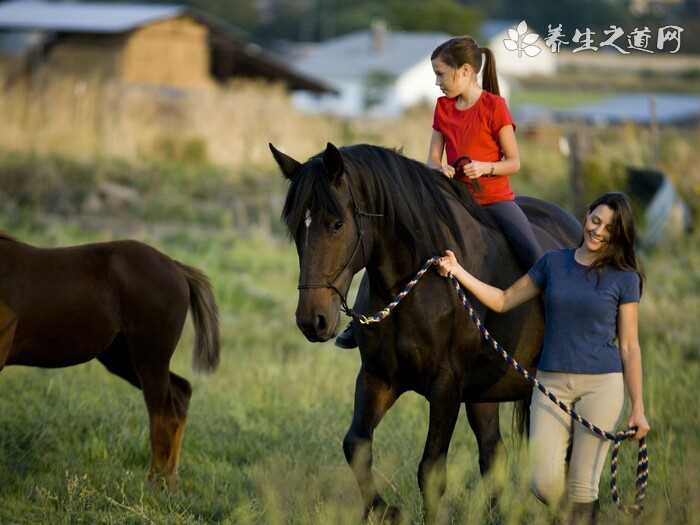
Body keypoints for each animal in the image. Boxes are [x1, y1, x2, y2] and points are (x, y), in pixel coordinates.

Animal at [0, 231, 219, 486]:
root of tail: (177, 268)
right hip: (122, 358)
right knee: (180, 393)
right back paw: (170, 481)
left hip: (150, 357)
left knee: (162, 411)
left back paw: (156, 482)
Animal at [270, 141, 584, 520]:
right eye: (295, 228)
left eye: (336, 224)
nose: (311, 320)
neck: (414, 285)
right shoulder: (378, 377)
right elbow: (356, 445)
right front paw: (386, 510)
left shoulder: (446, 386)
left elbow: (431, 471)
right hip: (483, 395)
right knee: (493, 455)